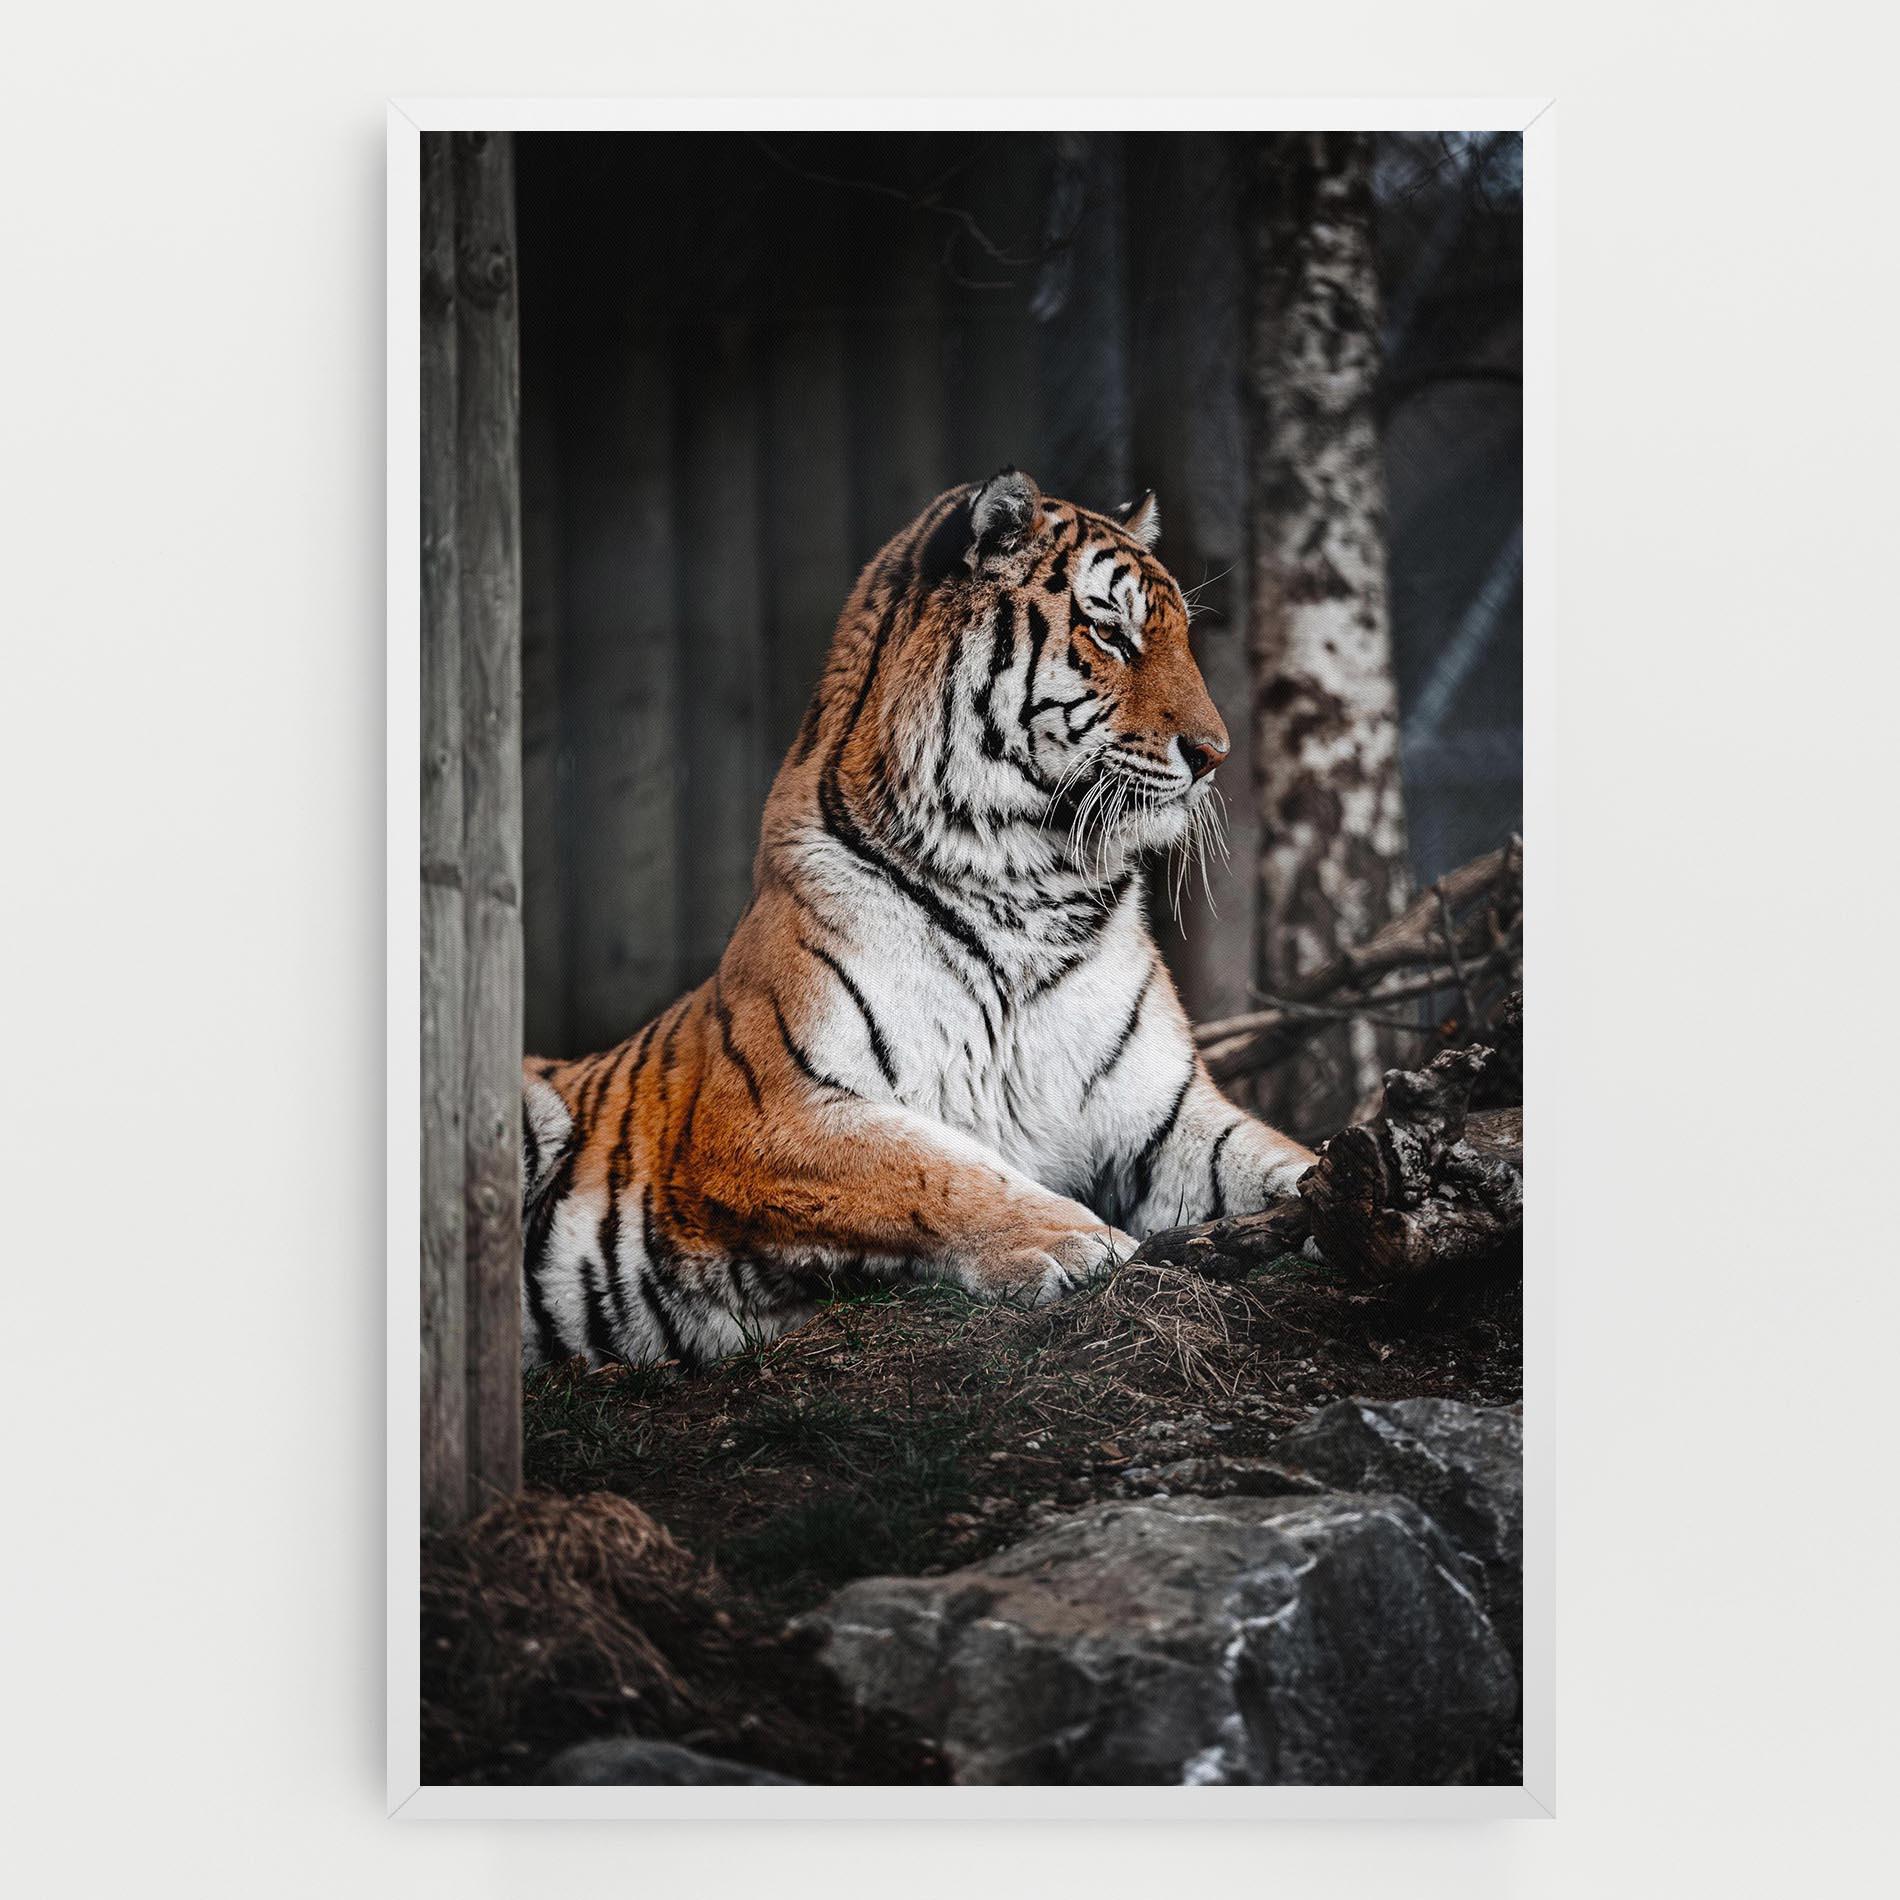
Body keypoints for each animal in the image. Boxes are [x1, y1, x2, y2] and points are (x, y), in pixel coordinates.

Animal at [518, 469, 1315, 1369]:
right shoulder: (765, 1113)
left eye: (1180, 635)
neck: (1030, 884)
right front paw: (1075, 1242)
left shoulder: (1164, 1117)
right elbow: (935, 1170)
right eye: (1109, 633)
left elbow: (1277, 1157)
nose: (1215, 756)